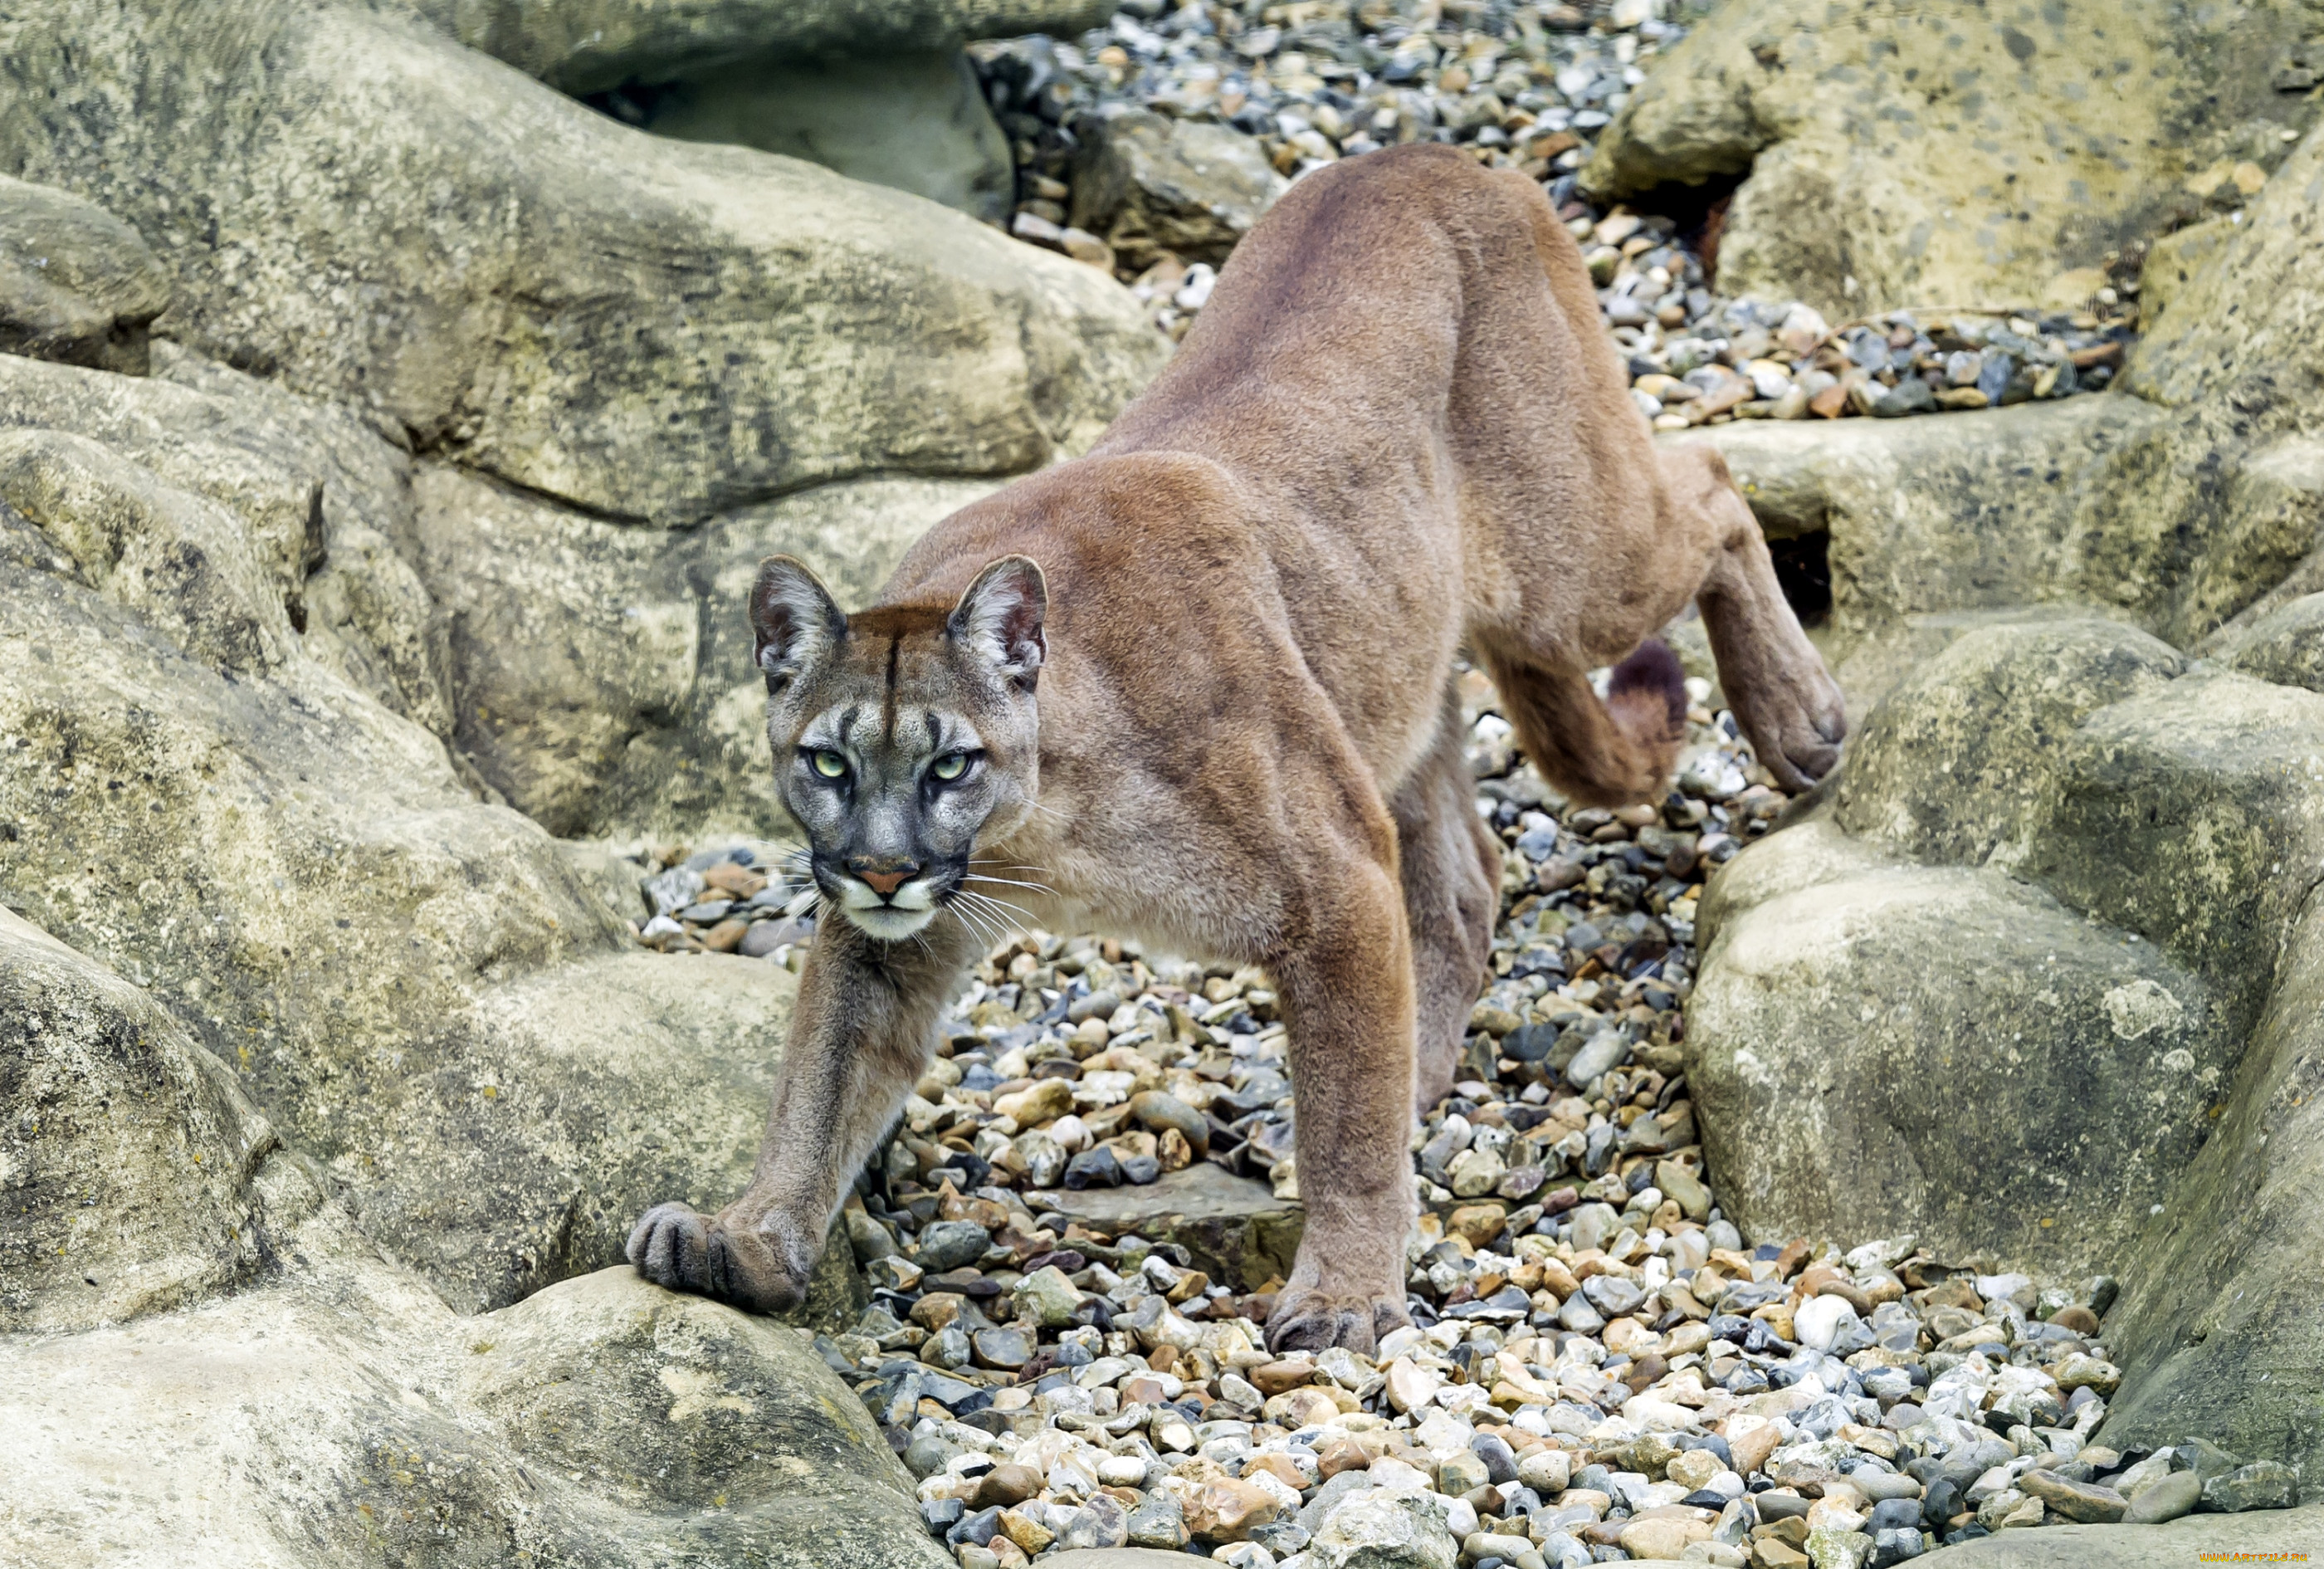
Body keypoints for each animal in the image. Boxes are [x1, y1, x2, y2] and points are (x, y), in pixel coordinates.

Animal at [627, 141, 1840, 1357]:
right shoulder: (890, 939)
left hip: (1564, 572)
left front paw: (1344, 1292)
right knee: (1462, 882)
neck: (1049, 825)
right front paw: (748, 1238)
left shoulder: (1334, 878)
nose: (882, 867)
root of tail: (1427, 153)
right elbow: (819, 1084)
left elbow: (1344, 1123)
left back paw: (1803, 718)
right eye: (828, 763)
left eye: (950, 764)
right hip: (1386, 675)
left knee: (1713, 486)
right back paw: (1418, 1072)